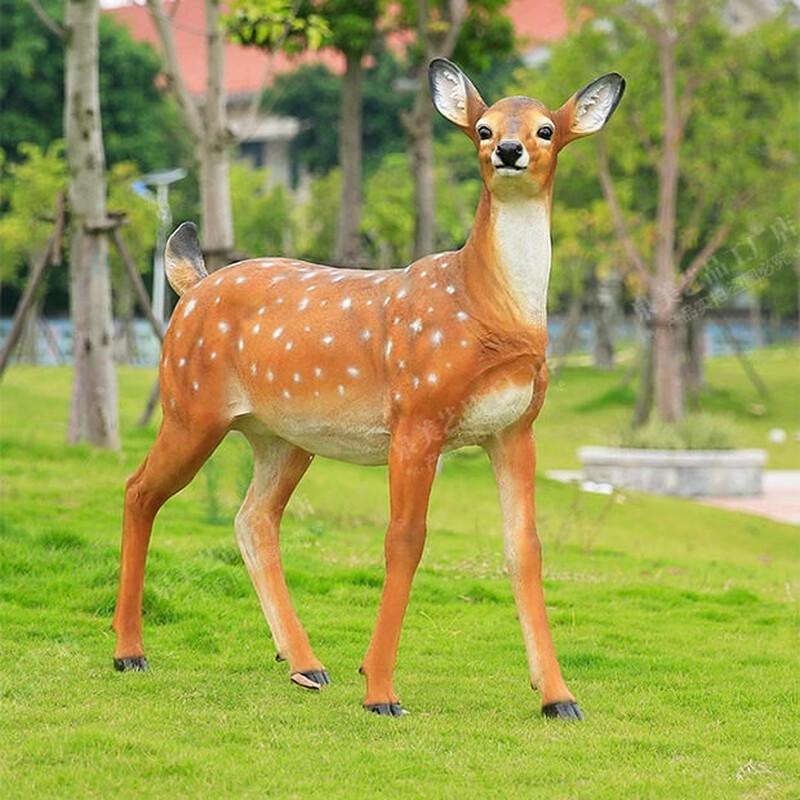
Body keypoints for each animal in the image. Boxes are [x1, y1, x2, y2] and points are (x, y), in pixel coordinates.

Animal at [112, 59, 625, 720]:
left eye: (545, 129)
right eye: (483, 128)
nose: (508, 151)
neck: (490, 310)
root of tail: (193, 284)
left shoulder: (516, 427)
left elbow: (525, 548)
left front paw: (559, 698)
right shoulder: (417, 414)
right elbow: (404, 541)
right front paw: (381, 692)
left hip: (282, 436)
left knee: (253, 518)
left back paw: (305, 665)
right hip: (189, 402)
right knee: (139, 490)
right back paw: (130, 652)